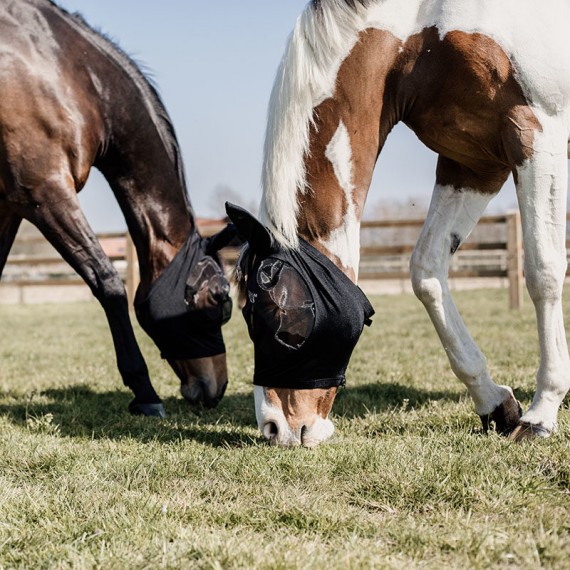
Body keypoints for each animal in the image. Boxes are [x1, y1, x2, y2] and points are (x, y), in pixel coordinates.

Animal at [0, 1, 233, 418]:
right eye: (219, 298)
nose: (216, 387)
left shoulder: (10, 206)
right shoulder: (44, 191)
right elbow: (108, 282)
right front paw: (145, 393)